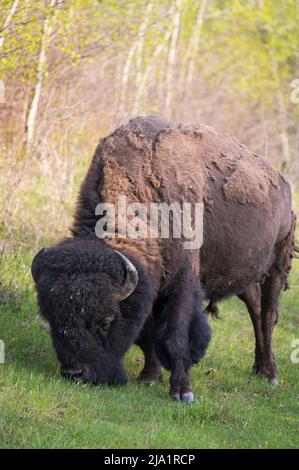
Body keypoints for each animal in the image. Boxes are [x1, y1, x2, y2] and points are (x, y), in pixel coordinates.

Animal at [31, 115, 296, 402]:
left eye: (107, 321)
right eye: (52, 318)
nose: (74, 373)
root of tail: (282, 181)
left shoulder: (181, 283)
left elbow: (174, 335)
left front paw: (182, 391)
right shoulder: (150, 286)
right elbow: (147, 333)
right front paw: (149, 376)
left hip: (278, 264)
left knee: (268, 314)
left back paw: (270, 373)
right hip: (243, 274)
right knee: (255, 310)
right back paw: (259, 367)